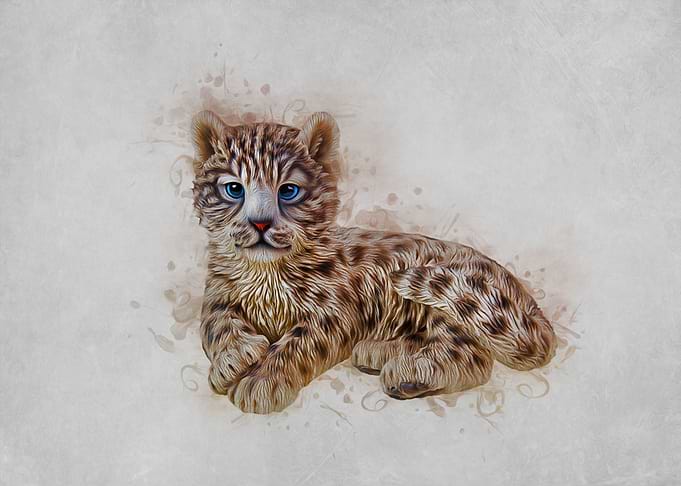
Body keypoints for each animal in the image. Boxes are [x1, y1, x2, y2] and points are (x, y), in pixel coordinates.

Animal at [190, 110, 556, 414]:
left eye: (289, 190)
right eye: (234, 189)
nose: (260, 224)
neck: (264, 273)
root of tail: (521, 293)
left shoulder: (333, 312)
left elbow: (296, 343)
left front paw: (261, 381)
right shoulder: (217, 296)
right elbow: (215, 325)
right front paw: (235, 357)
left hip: (450, 305)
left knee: (473, 355)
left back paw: (408, 375)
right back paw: (377, 352)